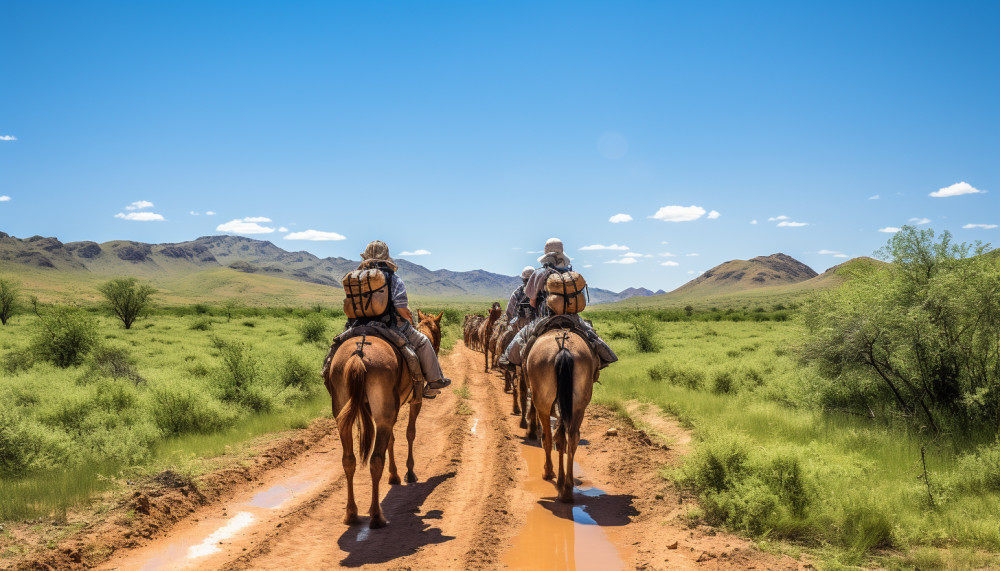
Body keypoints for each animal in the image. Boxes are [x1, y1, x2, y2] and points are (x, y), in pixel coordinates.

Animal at [324, 334, 422, 528]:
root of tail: (359, 354)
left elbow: (392, 438)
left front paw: (395, 475)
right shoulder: (415, 401)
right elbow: (410, 433)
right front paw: (409, 473)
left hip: (342, 412)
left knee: (348, 460)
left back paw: (351, 514)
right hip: (384, 409)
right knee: (376, 460)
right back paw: (377, 516)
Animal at [524, 329, 599, 503]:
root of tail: (563, 348)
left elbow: (550, 438)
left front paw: (549, 472)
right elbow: (562, 440)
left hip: (544, 405)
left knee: (549, 437)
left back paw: (553, 478)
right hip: (578, 407)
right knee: (571, 438)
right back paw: (567, 489)